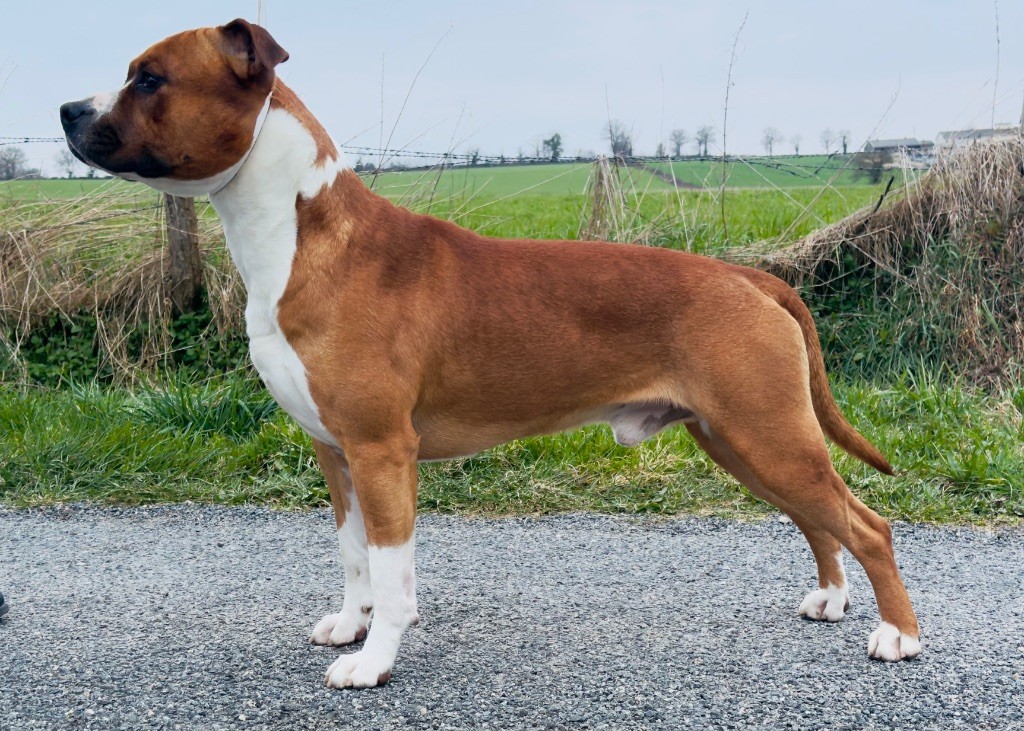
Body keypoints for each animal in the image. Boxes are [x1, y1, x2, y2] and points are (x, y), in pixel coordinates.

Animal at [60, 19, 920, 688]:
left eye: (149, 78)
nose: (68, 107)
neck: (300, 233)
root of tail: (750, 276)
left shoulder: (381, 449)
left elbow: (393, 570)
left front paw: (373, 661)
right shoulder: (335, 451)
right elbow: (354, 556)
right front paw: (350, 622)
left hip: (768, 433)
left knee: (866, 523)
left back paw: (899, 635)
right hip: (741, 438)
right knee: (819, 519)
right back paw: (832, 598)